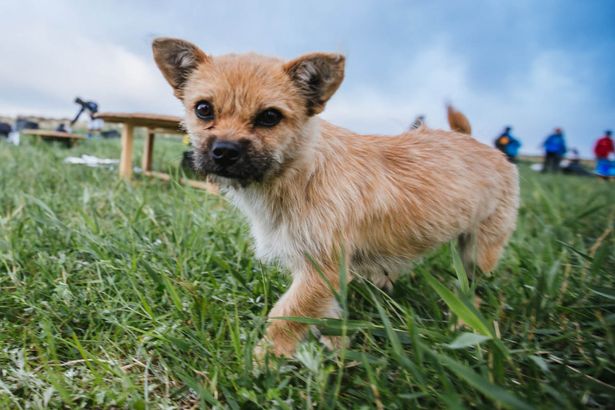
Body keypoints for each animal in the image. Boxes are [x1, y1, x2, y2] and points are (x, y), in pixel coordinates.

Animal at [154, 39, 520, 358]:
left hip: (480, 250)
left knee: (475, 286)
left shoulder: (319, 270)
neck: (298, 173)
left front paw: (264, 360)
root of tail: (478, 143)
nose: (225, 151)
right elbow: (322, 316)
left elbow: (287, 315)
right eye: (203, 109)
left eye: (270, 117)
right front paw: (333, 348)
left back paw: (467, 319)